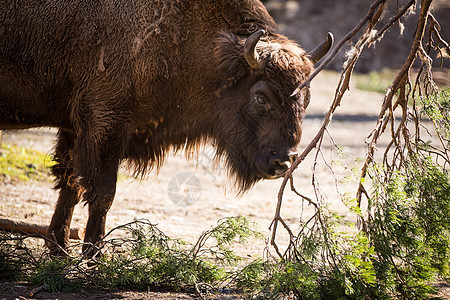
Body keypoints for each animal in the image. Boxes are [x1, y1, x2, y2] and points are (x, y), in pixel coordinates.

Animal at [0, 0, 330, 255]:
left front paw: (59, 249)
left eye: (306, 99)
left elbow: (69, 182)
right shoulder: (106, 124)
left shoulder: (75, 128)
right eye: (261, 97)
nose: (283, 161)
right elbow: (103, 192)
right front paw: (94, 256)